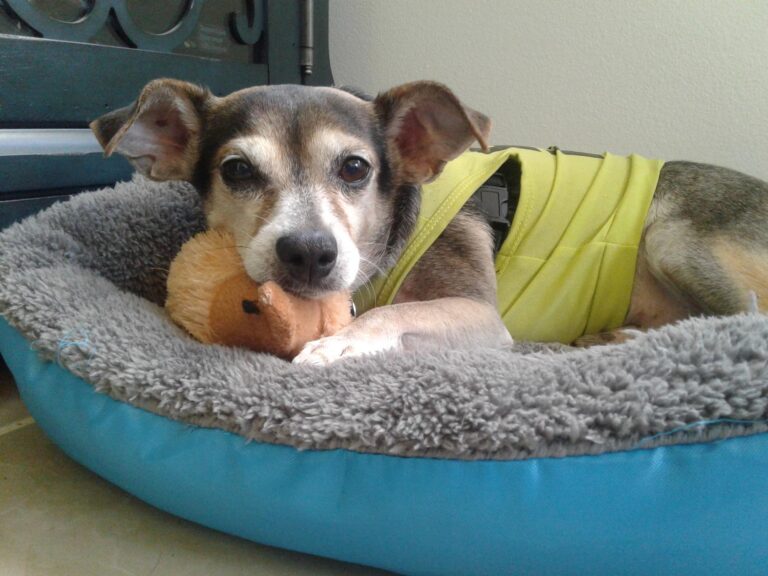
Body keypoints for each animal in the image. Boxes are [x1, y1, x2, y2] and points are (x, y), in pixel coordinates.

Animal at [91, 77, 768, 364]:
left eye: (355, 168)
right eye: (236, 171)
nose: (308, 252)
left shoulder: (482, 318)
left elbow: (391, 313)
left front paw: (339, 342)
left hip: (669, 236)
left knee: (746, 321)